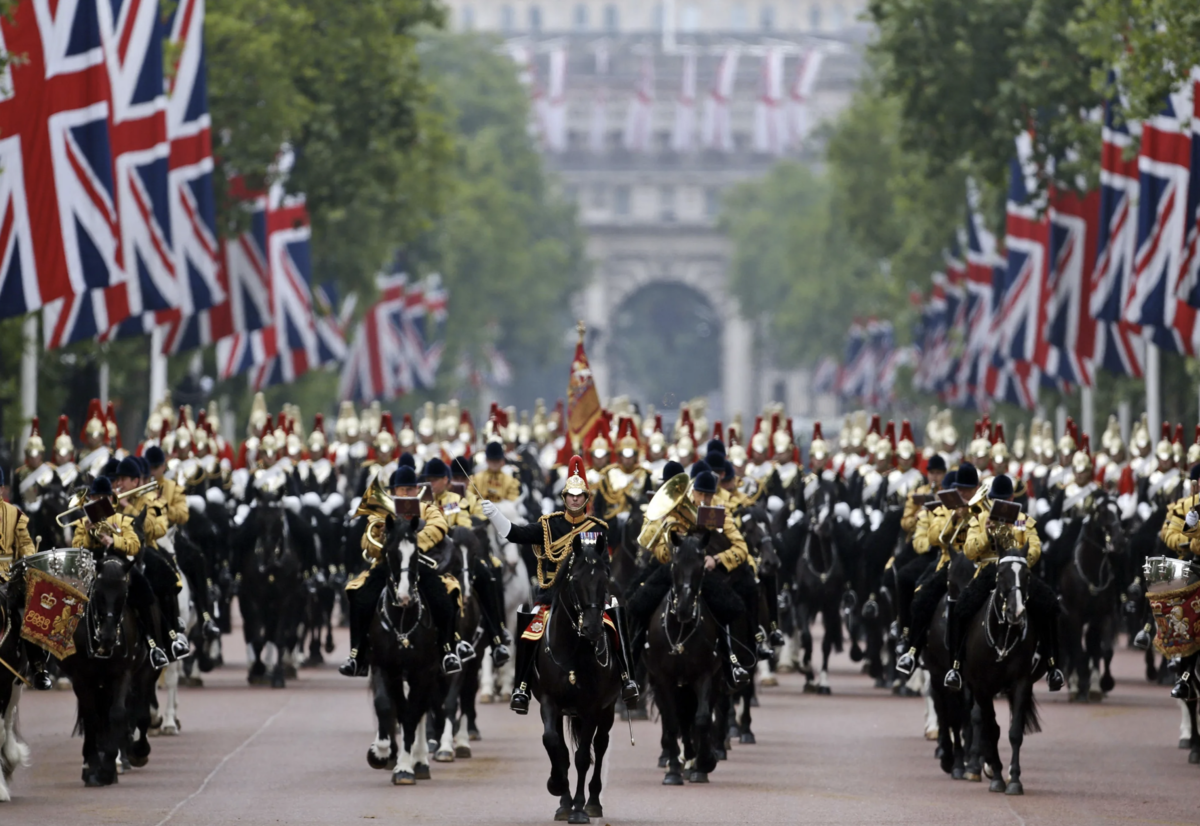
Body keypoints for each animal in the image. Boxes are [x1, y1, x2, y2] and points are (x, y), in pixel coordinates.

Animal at [540, 535, 624, 821]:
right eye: (575, 579)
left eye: (605, 578)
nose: (593, 629)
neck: (572, 651)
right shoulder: (550, 703)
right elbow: (555, 746)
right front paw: (558, 790)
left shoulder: (591, 707)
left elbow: (582, 757)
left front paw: (578, 808)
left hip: (607, 709)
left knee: (600, 745)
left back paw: (593, 801)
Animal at [648, 533, 720, 782]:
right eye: (675, 564)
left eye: (701, 566)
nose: (685, 609)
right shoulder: (662, 679)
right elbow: (672, 722)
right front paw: (673, 771)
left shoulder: (704, 675)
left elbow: (702, 719)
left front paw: (705, 762)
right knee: (679, 719)